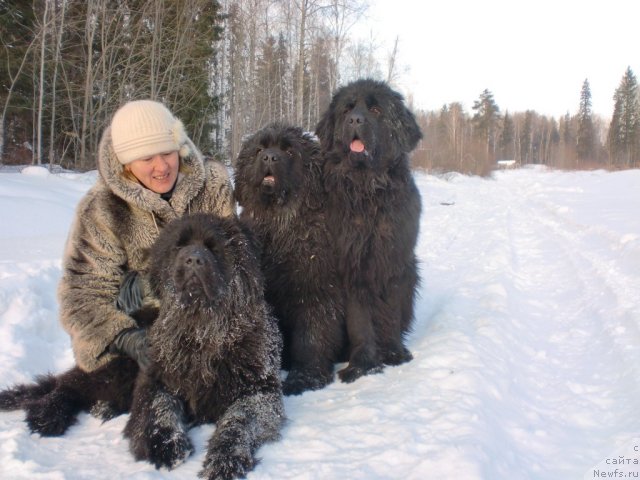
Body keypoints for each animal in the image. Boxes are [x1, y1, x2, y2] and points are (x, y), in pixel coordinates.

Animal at [0, 215, 284, 480]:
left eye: (214, 247)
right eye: (179, 246)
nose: (193, 259)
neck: (201, 330)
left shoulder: (258, 390)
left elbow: (238, 422)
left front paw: (225, 460)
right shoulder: (156, 375)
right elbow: (159, 407)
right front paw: (166, 446)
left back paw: (103, 408)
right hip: (118, 367)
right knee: (67, 386)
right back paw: (48, 415)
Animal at [234, 123, 344, 394]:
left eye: (290, 151)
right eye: (259, 149)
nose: (269, 158)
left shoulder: (316, 288)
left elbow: (313, 335)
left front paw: (306, 377)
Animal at [316, 79, 424, 382]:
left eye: (375, 109)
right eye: (347, 109)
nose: (355, 120)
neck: (368, 189)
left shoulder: (395, 262)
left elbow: (390, 313)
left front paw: (393, 352)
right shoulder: (352, 266)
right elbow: (359, 321)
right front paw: (362, 364)